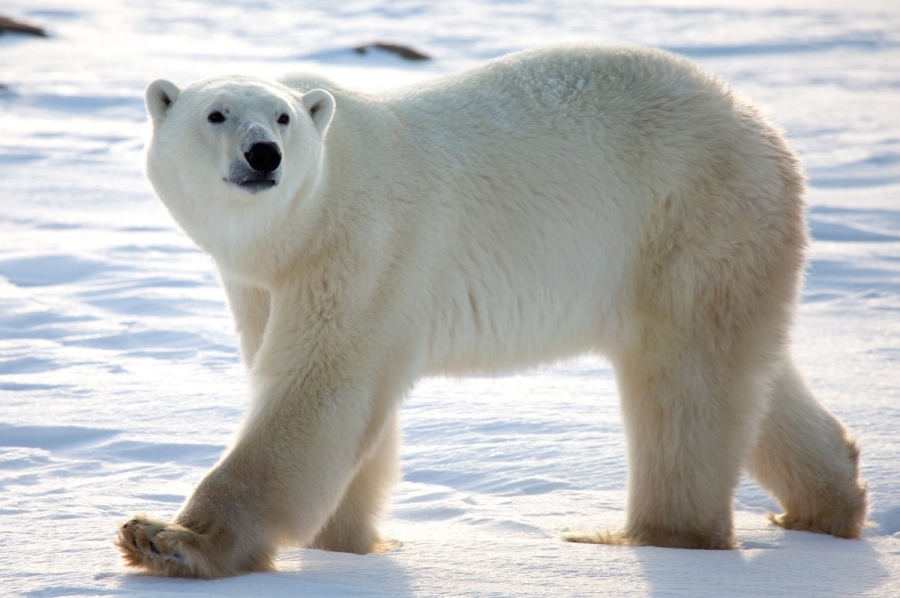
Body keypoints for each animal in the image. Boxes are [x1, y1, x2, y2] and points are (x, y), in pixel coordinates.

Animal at [116, 44, 868, 580]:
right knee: (750, 374)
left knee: (684, 386)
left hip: (688, 217)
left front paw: (167, 538)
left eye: (283, 118)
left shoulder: (365, 242)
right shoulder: (263, 283)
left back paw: (645, 538)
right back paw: (828, 503)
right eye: (215, 114)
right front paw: (347, 545)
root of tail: (762, 128)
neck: (306, 217)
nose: (263, 155)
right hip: (722, 244)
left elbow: (317, 389)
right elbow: (349, 410)